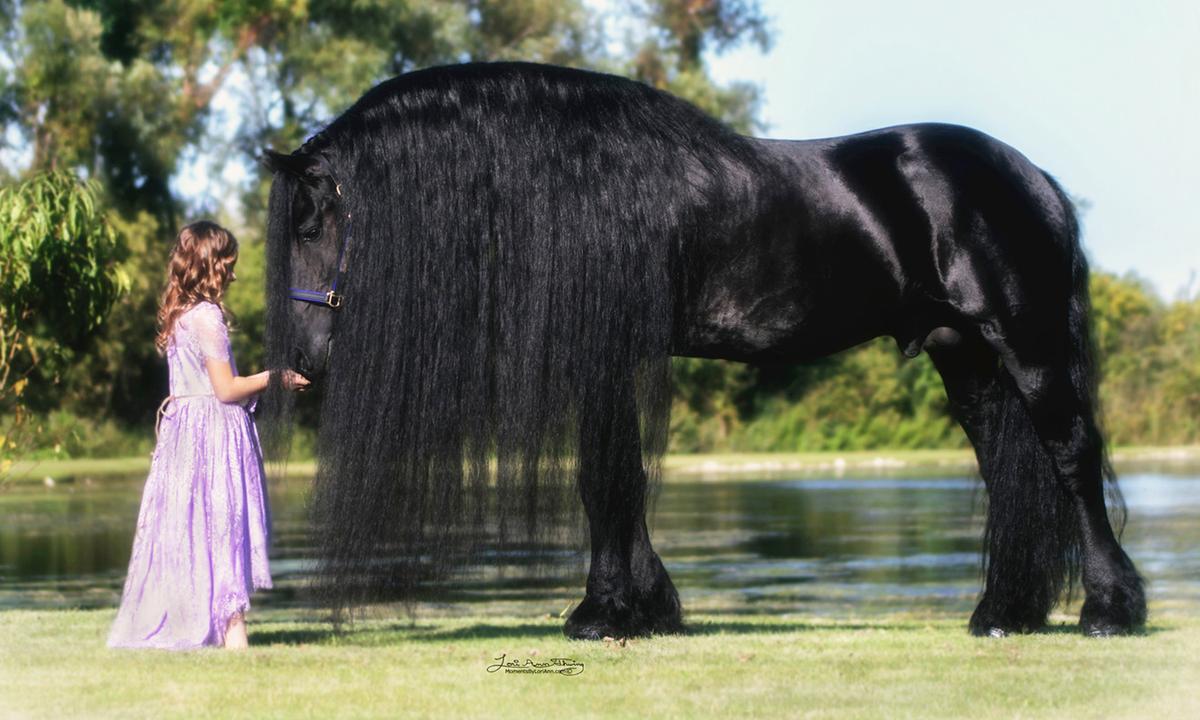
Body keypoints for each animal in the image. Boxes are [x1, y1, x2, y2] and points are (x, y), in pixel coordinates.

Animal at [262, 61, 1146, 639]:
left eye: (310, 222)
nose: (303, 360)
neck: (578, 183)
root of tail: (1031, 177)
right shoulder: (606, 362)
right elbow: (613, 478)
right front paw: (646, 607)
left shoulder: (605, 355)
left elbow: (607, 478)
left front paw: (602, 613)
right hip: (963, 355)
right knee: (1007, 466)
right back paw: (1002, 614)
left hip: (1025, 343)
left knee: (1071, 457)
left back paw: (1108, 611)